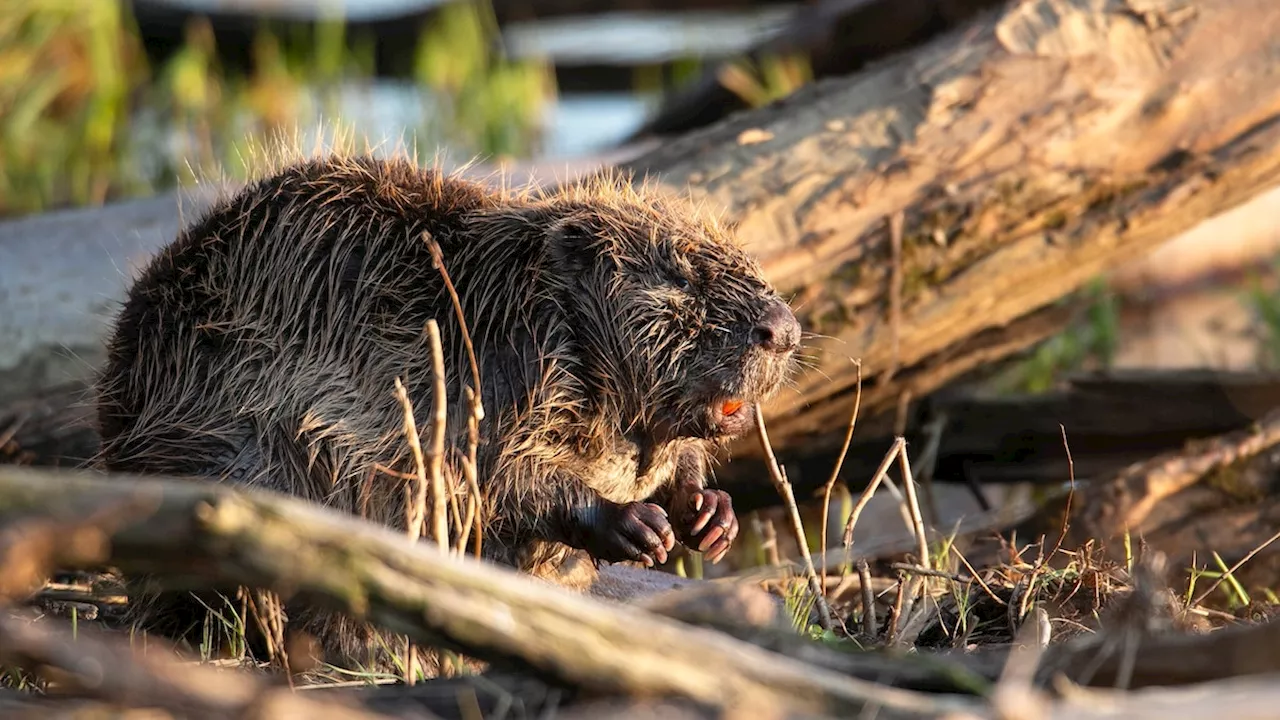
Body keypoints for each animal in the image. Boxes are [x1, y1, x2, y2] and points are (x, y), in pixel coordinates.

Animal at [94, 152, 798, 671]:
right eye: (680, 273)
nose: (784, 329)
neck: (523, 303)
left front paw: (709, 515)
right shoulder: (493, 382)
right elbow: (494, 482)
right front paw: (637, 527)